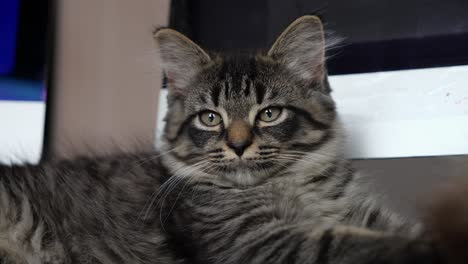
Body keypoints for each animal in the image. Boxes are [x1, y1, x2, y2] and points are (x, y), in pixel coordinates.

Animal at [0, 15, 442, 262]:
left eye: (269, 113)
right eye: (210, 118)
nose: (239, 145)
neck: (296, 186)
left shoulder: (363, 213)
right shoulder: (256, 241)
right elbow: (351, 243)